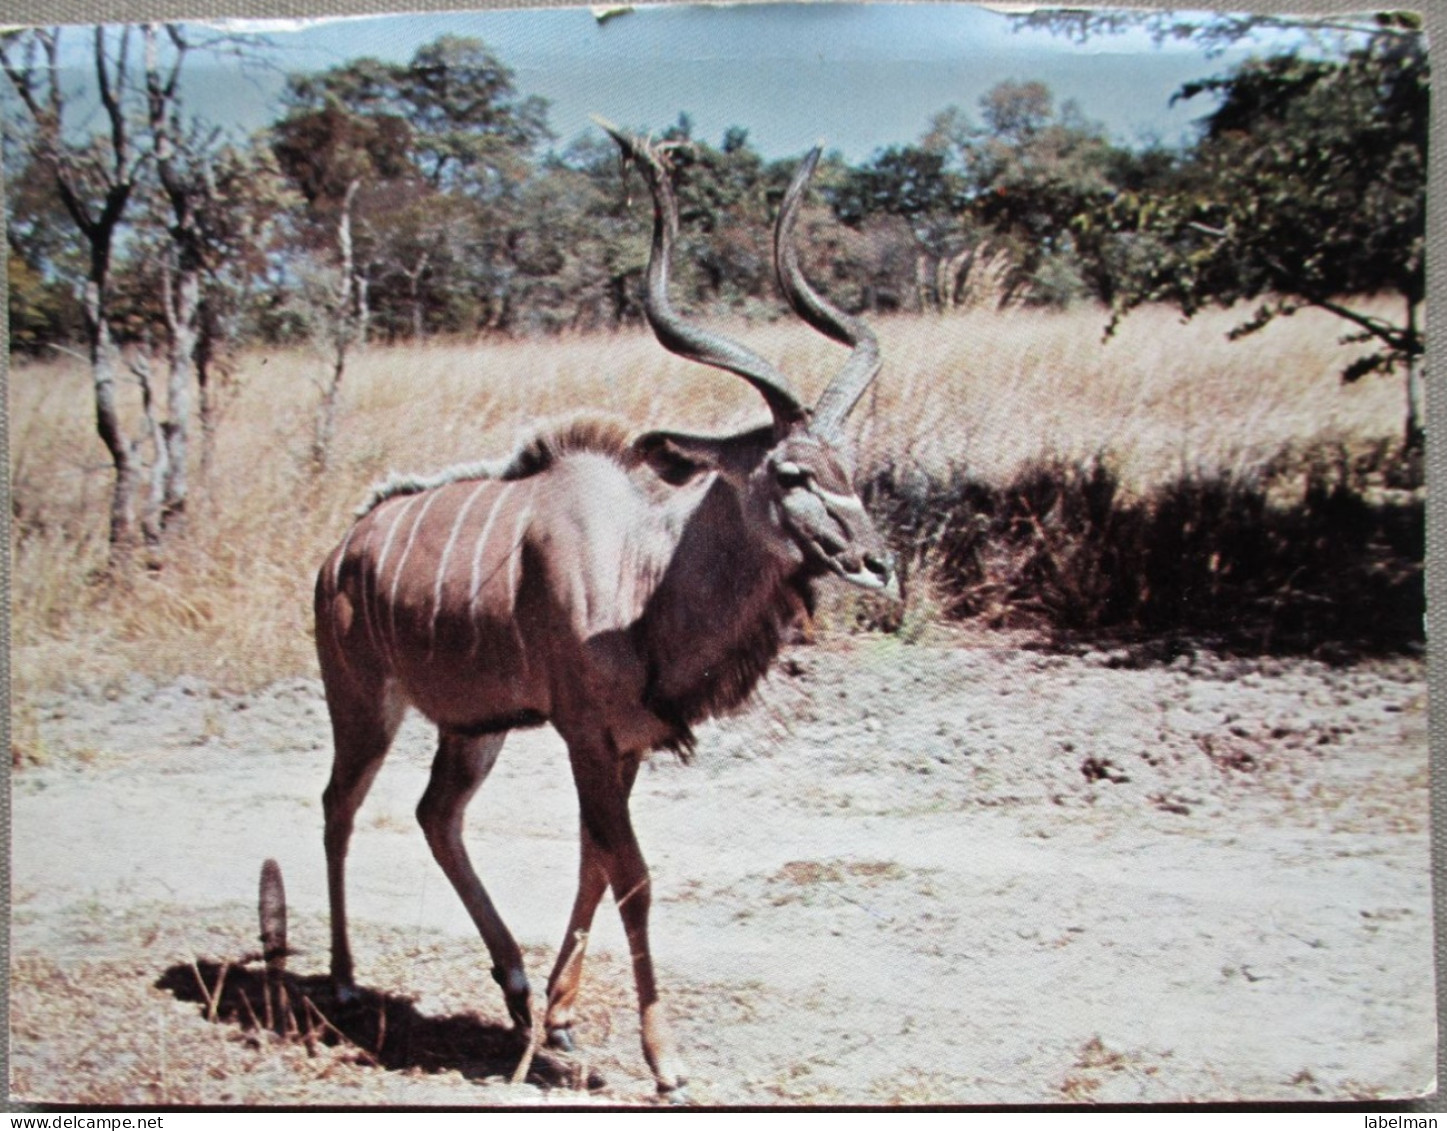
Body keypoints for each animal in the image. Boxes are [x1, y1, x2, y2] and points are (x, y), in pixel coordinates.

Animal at [319, 128, 891, 1104]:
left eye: (849, 466)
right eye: (789, 471)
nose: (875, 563)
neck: (644, 573)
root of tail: (337, 553)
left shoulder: (619, 747)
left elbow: (594, 859)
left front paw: (561, 1014)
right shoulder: (586, 735)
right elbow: (632, 875)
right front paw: (665, 1060)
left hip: (472, 727)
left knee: (436, 814)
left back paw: (513, 988)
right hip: (365, 706)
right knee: (339, 805)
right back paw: (348, 982)